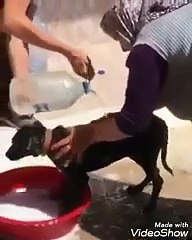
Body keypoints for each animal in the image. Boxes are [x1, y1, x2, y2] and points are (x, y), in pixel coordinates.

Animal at [5, 115, 172, 213]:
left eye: (16, 143)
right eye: (12, 141)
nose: (6, 155)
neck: (51, 141)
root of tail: (161, 121)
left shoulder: (79, 177)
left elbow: (72, 193)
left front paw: (68, 209)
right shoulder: (69, 174)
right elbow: (66, 185)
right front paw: (59, 194)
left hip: (145, 154)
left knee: (157, 178)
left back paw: (150, 207)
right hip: (138, 154)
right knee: (153, 173)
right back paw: (137, 189)